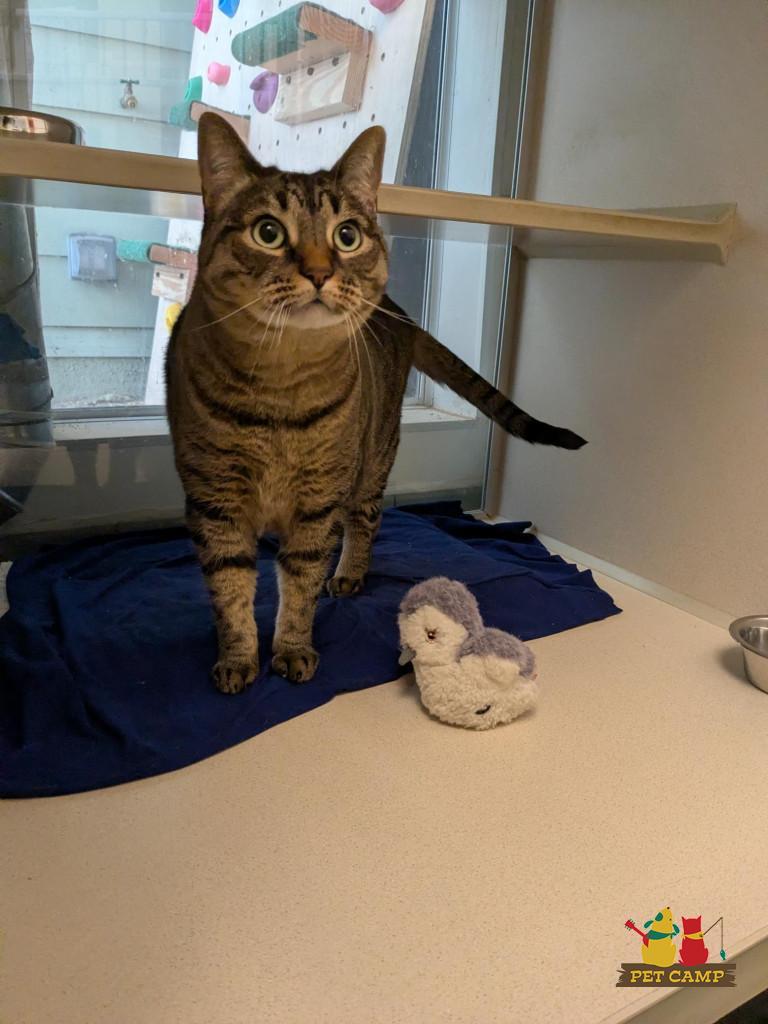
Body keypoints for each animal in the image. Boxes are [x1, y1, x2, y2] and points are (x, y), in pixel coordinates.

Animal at [166, 113, 586, 692]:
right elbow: (230, 593)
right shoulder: (215, 502)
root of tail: (401, 313)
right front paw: (238, 657)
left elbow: (299, 586)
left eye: (347, 235)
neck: (279, 386)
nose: (320, 272)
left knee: (365, 523)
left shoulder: (317, 502)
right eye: (268, 232)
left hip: (372, 458)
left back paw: (347, 574)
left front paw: (292, 648)